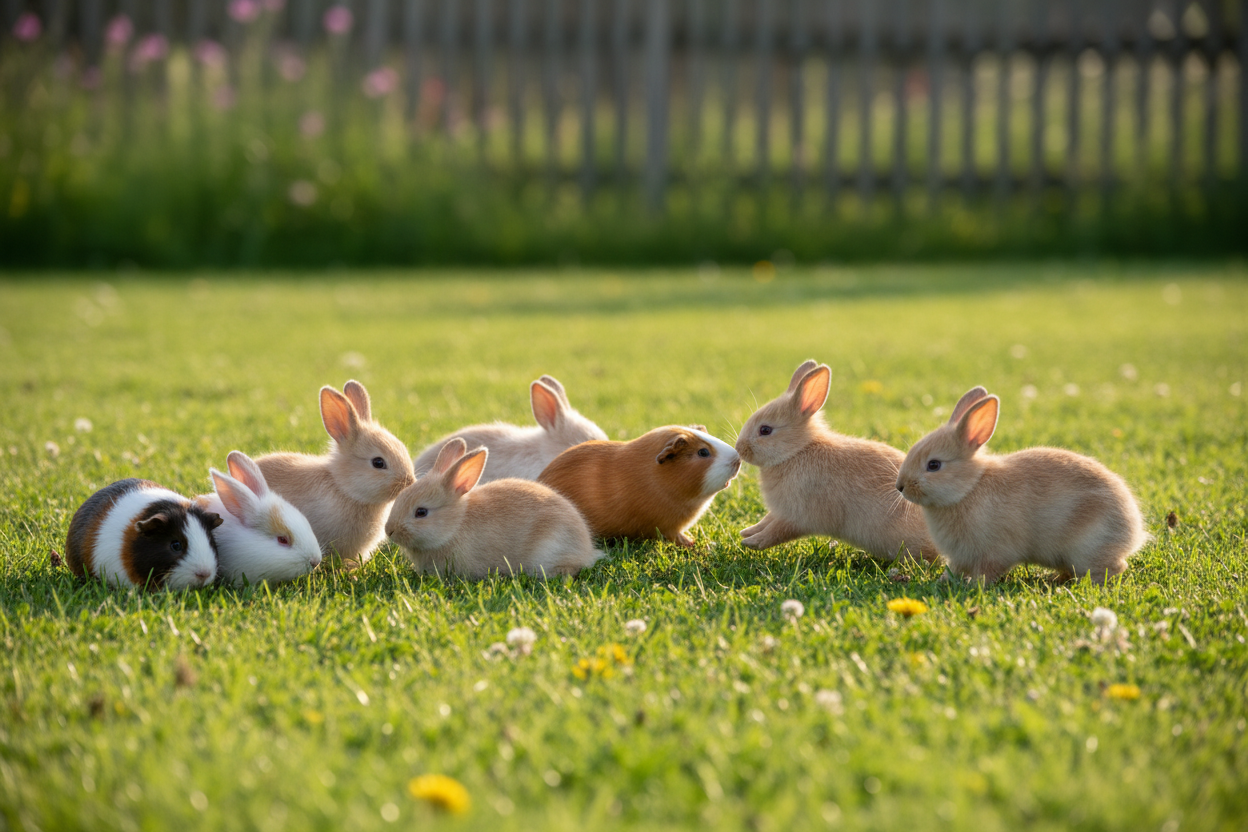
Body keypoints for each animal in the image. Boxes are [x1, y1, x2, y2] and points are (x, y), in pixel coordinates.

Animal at [735, 360, 937, 562]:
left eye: (765, 430)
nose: (739, 449)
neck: (797, 451)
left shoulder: (800, 516)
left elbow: (777, 531)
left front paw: (751, 542)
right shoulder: (782, 511)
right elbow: (767, 521)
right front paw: (747, 532)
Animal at [895, 386, 1148, 583]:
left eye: (934, 465)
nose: (900, 486)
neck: (969, 488)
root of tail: (1134, 529)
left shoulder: (994, 552)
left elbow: (987, 572)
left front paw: (974, 586)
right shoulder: (960, 557)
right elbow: (954, 570)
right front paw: (944, 581)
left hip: (1088, 547)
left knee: (1114, 568)